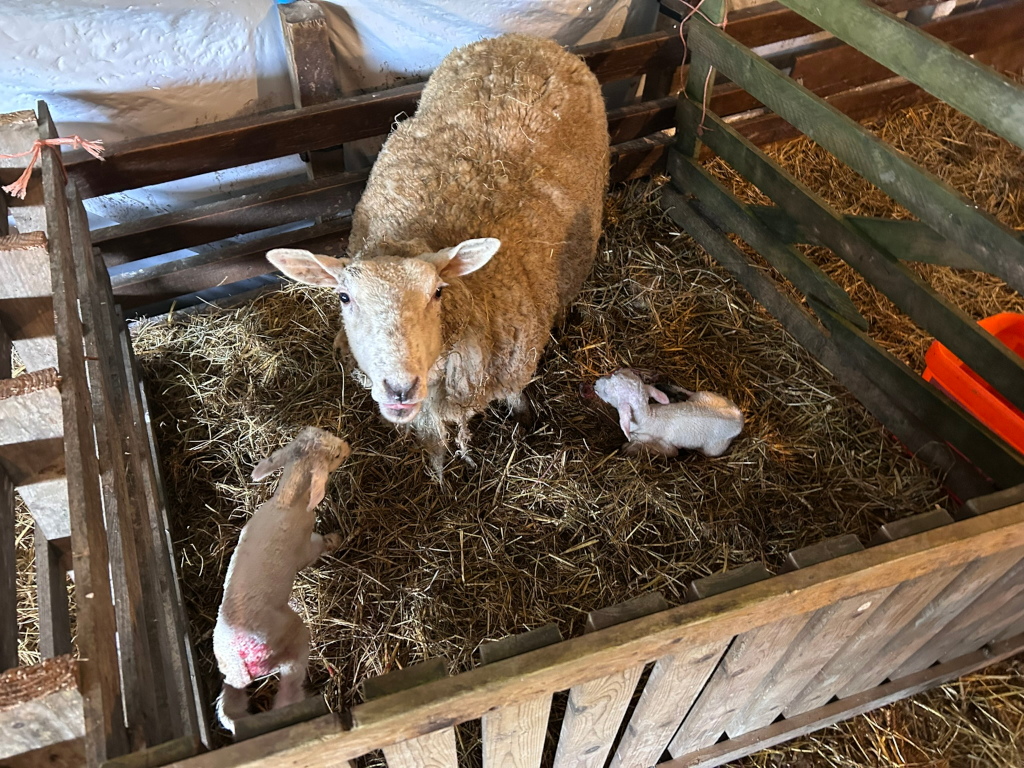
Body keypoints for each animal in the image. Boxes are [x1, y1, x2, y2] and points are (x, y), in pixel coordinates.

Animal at [213, 427, 351, 733]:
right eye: (336, 455)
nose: (347, 446)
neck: (286, 502)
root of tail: (240, 664)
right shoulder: (306, 547)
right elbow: (318, 547)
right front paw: (335, 540)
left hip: (229, 676)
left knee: (230, 708)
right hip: (292, 642)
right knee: (289, 687)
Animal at [266, 33, 609, 474]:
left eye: (437, 293)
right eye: (344, 297)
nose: (400, 388)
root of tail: (524, 40)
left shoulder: (515, 365)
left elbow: (516, 397)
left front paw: (524, 418)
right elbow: (434, 444)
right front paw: (439, 470)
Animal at [593, 369, 744, 458]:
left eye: (606, 392)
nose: (595, 384)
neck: (648, 417)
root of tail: (740, 419)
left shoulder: (667, 446)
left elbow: (670, 451)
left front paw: (630, 447)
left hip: (713, 449)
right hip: (708, 396)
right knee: (691, 394)